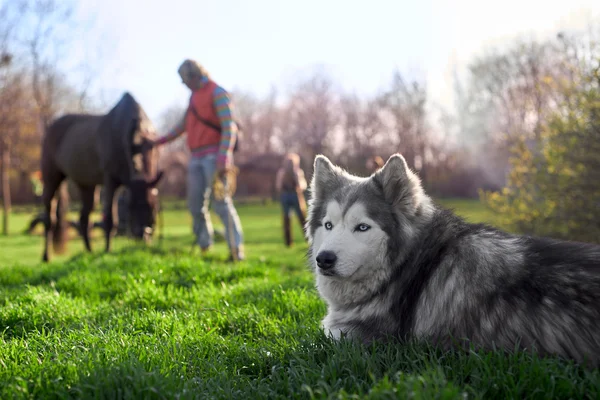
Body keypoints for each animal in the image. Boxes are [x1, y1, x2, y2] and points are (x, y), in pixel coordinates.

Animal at [40, 93, 163, 262]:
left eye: (152, 206)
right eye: (130, 206)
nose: (142, 234)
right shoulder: (110, 180)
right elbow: (110, 219)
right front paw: (108, 250)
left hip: (86, 185)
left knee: (84, 218)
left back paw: (89, 251)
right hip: (51, 178)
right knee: (49, 219)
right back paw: (46, 256)